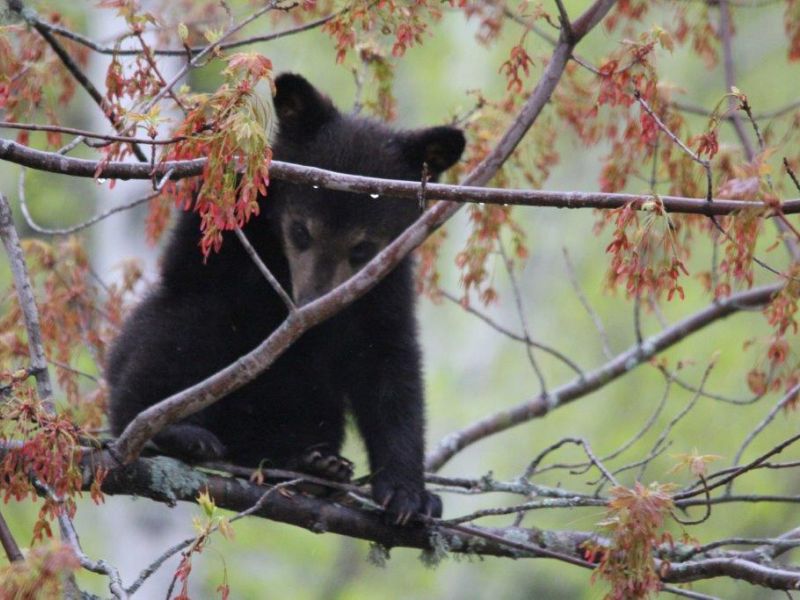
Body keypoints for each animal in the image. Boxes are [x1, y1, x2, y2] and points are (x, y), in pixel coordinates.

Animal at [106, 73, 465, 522]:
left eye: (362, 248)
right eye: (300, 231)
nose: (313, 305)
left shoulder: (387, 282)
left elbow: (390, 367)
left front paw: (408, 492)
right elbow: (195, 272)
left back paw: (311, 466)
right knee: (179, 332)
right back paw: (174, 431)